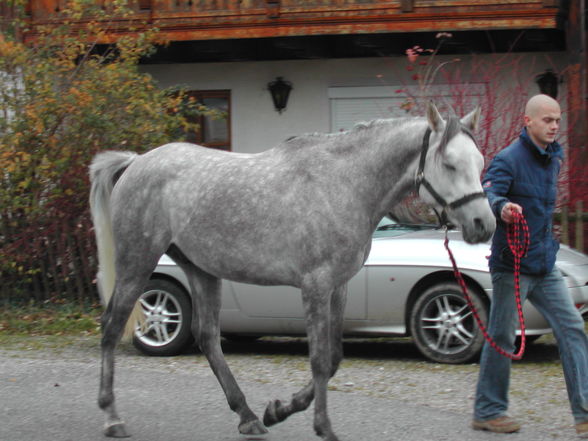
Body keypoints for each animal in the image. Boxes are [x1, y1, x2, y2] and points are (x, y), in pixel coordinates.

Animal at [90, 100, 496, 440]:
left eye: (479, 163)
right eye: (450, 164)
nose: (484, 225)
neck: (344, 183)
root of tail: (135, 162)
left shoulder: (338, 286)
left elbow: (333, 358)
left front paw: (279, 410)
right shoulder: (315, 284)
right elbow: (318, 359)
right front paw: (323, 427)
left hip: (201, 270)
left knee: (207, 337)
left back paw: (249, 417)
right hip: (137, 263)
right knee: (111, 327)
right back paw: (111, 418)